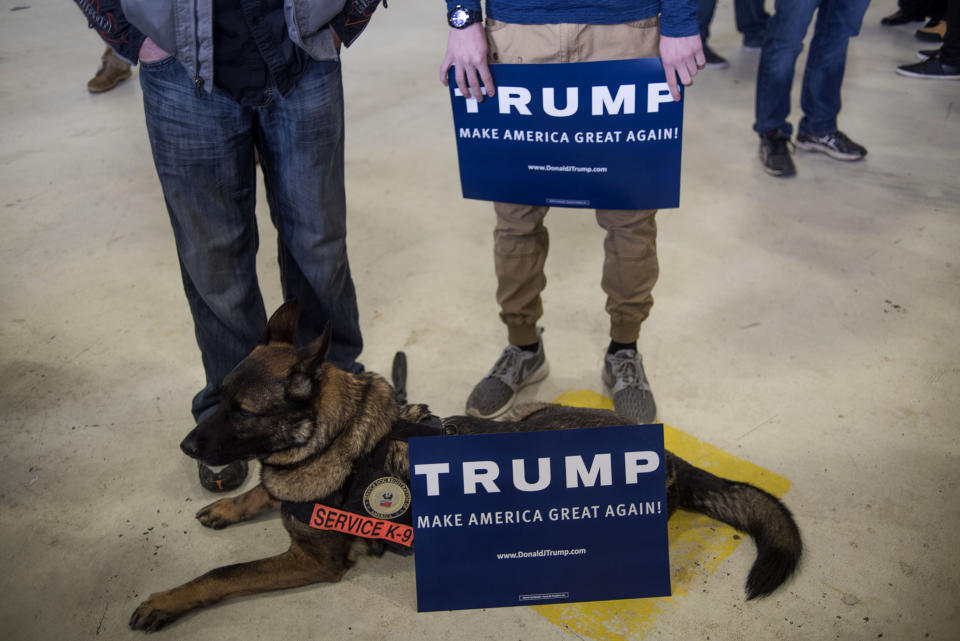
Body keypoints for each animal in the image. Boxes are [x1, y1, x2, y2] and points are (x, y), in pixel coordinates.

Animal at [127, 304, 804, 632]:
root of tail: (669, 458)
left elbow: (221, 573)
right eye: (218, 397)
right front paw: (228, 504)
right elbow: (264, 493)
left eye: (242, 411)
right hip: (527, 414)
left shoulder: (310, 561)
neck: (336, 440)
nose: (186, 447)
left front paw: (164, 599)